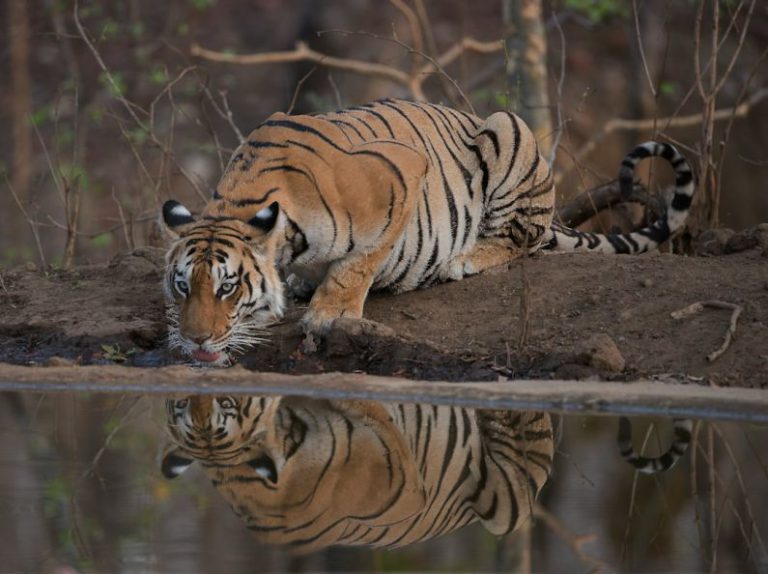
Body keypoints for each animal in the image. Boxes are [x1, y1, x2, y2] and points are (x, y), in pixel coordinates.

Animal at [162, 97, 696, 362]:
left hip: (508, 130)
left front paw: (328, 314)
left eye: (228, 287)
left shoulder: (401, 172)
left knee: (522, 239)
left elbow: (358, 264)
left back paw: (464, 259)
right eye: (182, 286)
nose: (194, 341)